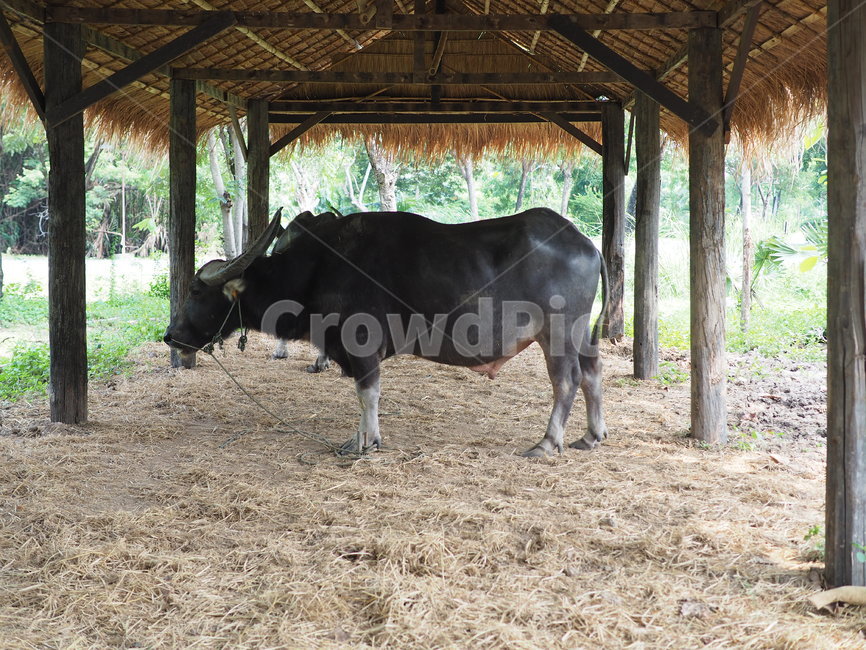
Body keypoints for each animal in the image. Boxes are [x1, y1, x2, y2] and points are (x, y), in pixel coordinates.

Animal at [164, 207, 608, 457]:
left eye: (196, 290)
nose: (170, 335)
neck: (318, 268)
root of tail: (587, 245)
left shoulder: (362, 345)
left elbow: (367, 393)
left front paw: (367, 442)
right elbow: (363, 395)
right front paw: (357, 440)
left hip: (558, 332)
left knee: (566, 380)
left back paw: (548, 443)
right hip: (581, 333)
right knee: (592, 371)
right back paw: (591, 436)